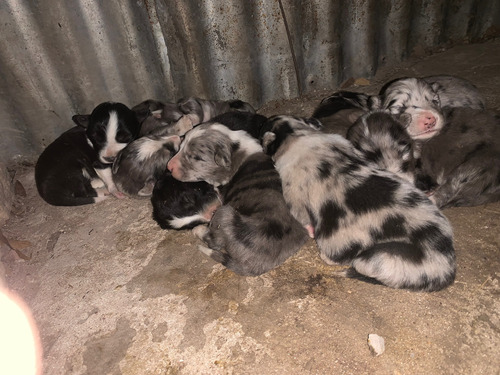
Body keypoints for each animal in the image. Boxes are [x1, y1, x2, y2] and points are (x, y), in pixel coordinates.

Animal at [168, 123, 308, 276]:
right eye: (181, 145)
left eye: (195, 157)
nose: (169, 166)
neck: (235, 148)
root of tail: (254, 266)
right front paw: (269, 137)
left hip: (225, 213)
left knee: (215, 242)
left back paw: (198, 230)